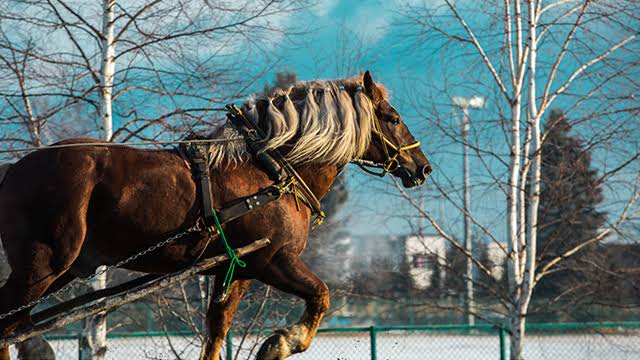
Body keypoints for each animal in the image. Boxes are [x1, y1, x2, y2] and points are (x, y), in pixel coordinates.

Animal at [0, 69, 432, 358]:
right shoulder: (274, 260)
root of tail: (12, 170)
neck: (269, 167)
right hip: (42, 267)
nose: (423, 167)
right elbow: (321, 296)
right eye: (393, 118)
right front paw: (281, 342)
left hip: (57, 272)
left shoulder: (238, 270)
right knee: (8, 324)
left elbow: (217, 330)